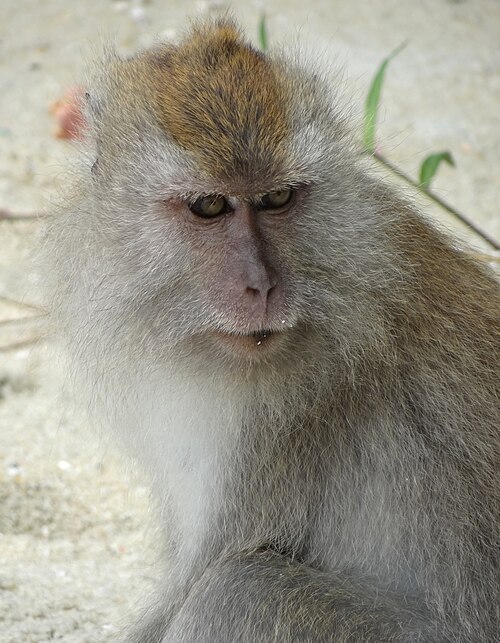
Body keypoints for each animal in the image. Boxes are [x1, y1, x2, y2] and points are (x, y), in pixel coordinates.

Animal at [44, 19, 500, 643]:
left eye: (278, 197)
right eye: (209, 206)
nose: (260, 286)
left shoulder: (287, 427)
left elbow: (204, 581)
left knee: (239, 589)